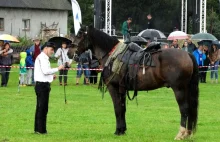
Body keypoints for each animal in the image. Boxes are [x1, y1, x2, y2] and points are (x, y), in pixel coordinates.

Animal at [69, 25, 199, 140]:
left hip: (179, 89)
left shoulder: (113, 87)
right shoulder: (122, 89)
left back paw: (181, 134)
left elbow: (117, 108)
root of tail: (187, 54)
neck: (112, 55)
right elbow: (122, 108)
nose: (70, 52)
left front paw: (118, 131)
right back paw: (188, 133)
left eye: (80, 34)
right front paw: (122, 130)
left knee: (184, 109)